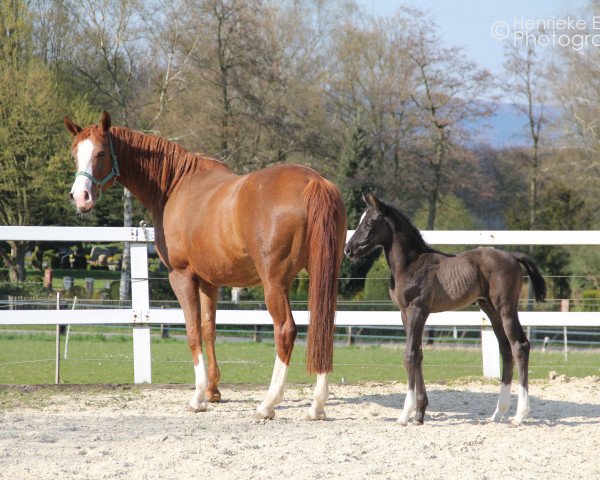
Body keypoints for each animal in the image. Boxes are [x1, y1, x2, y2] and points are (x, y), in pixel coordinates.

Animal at [64, 112, 346, 420]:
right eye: (75, 153)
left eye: (101, 152)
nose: (80, 197)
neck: (175, 185)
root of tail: (313, 181)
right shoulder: (210, 281)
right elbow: (209, 328)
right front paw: (213, 391)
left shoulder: (181, 276)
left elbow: (192, 331)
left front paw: (198, 396)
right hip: (323, 275)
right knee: (324, 327)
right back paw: (317, 405)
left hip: (274, 282)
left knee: (285, 330)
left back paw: (268, 404)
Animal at [344, 193, 548, 426]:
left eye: (369, 223)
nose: (348, 250)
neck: (410, 265)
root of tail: (513, 257)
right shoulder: (405, 315)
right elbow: (419, 354)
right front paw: (420, 414)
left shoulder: (418, 310)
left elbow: (410, 355)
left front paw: (406, 414)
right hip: (490, 310)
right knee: (506, 349)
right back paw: (497, 413)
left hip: (506, 309)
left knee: (520, 346)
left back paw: (520, 415)